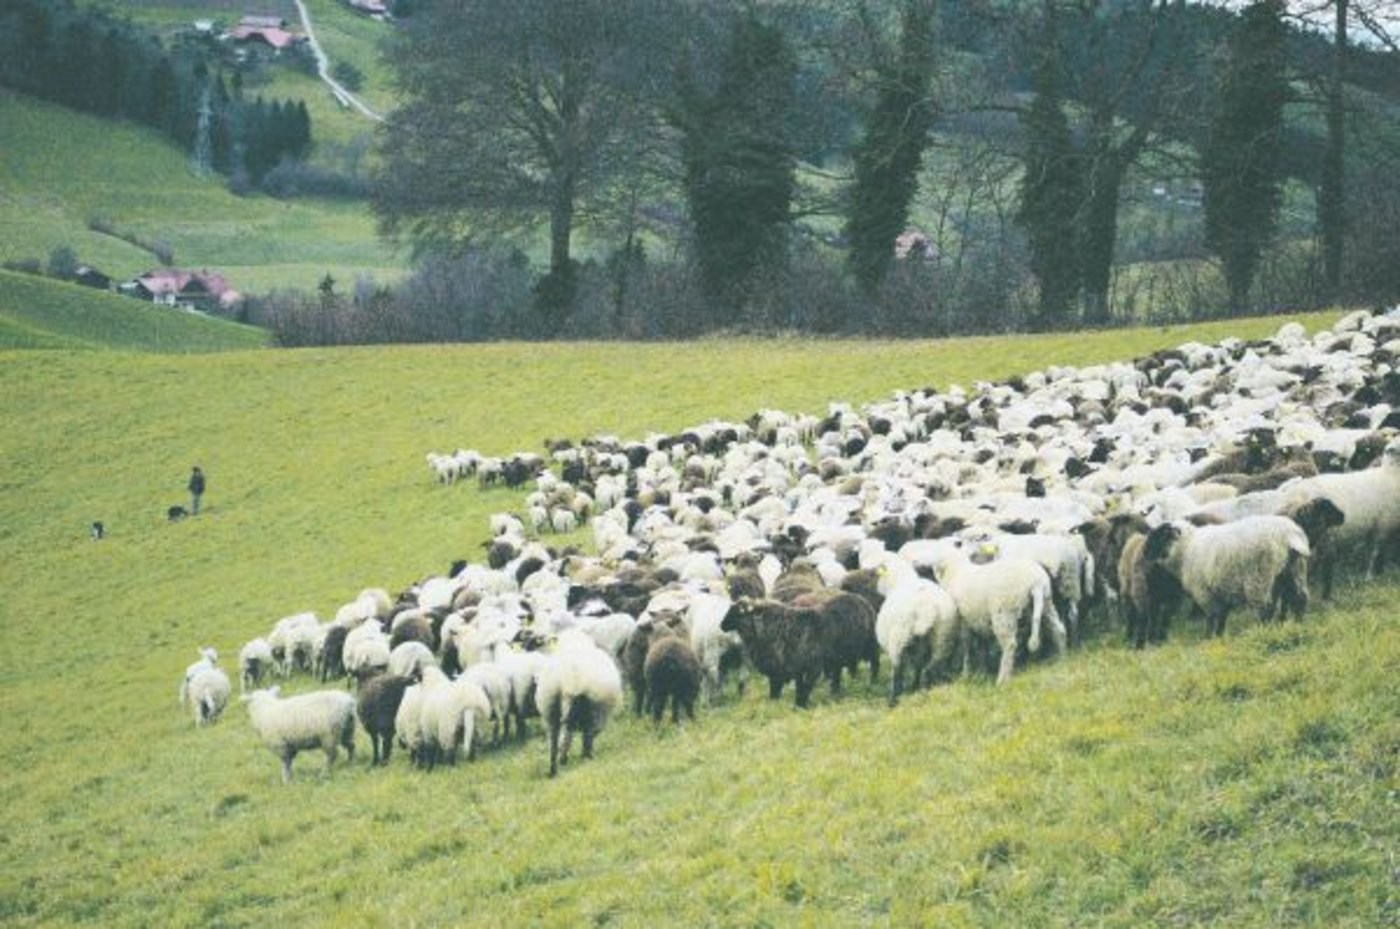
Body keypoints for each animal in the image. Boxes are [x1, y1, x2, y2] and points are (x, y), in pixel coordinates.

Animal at [535, 630, 624, 777]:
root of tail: (571, 679)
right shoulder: (599, 715)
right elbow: (591, 734)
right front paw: (585, 754)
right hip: (590, 706)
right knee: (572, 736)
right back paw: (573, 758)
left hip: (551, 710)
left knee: (554, 742)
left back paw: (553, 769)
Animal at [1142, 516, 1311, 637]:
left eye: (1159, 536)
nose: (1144, 553)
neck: (1186, 548)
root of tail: (1289, 535)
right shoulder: (1222, 590)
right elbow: (1222, 616)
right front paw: (1219, 636)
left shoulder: (1204, 592)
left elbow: (1211, 617)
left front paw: (1208, 638)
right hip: (1293, 570)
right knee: (1300, 598)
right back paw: (1298, 624)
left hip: (1258, 578)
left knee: (1266, 608)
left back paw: (1262, 630)